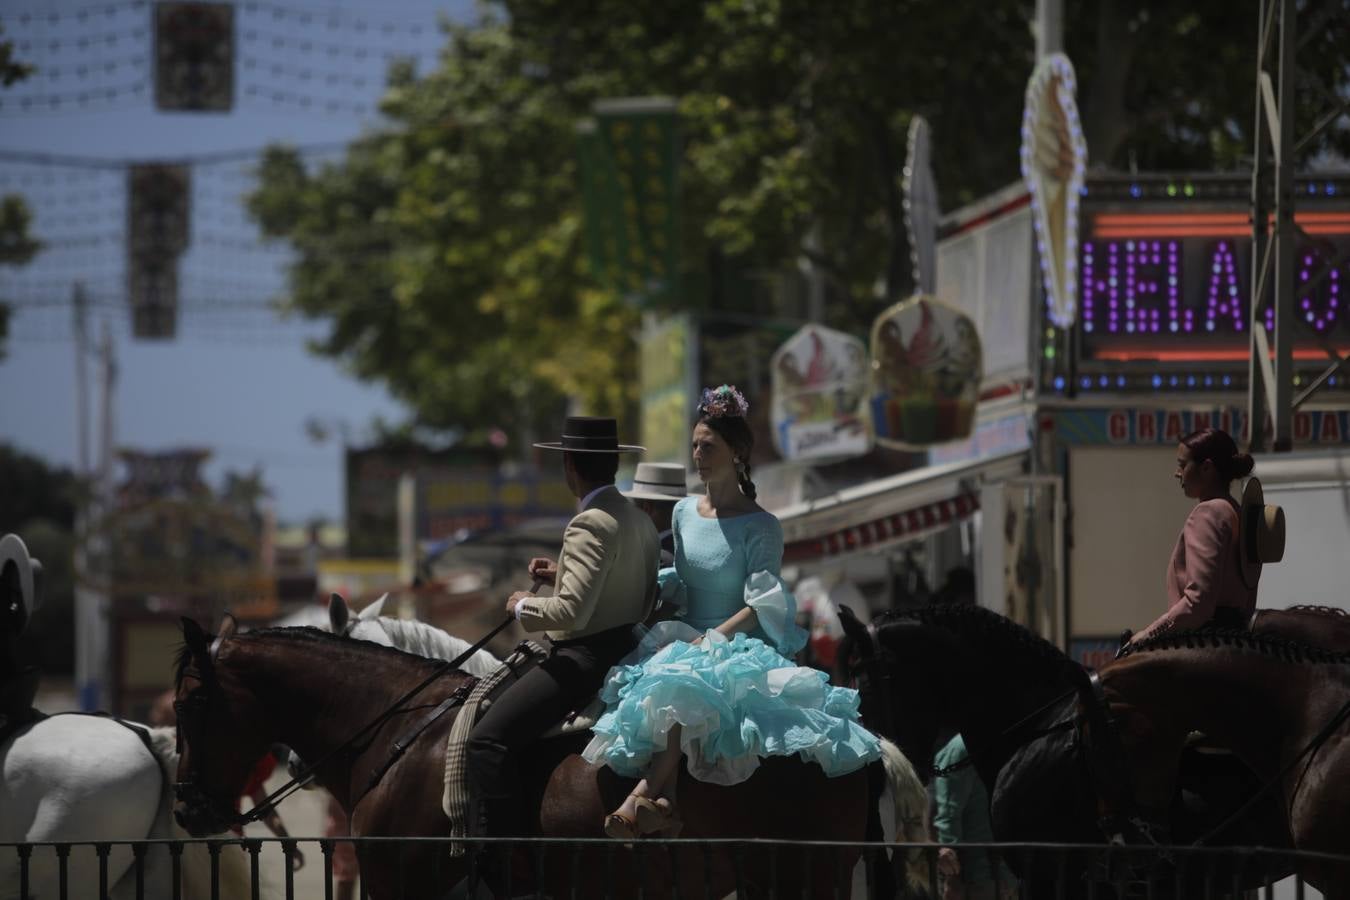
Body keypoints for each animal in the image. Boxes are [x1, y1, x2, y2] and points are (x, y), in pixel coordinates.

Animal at [171, 620, 928, 900]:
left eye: (190, 703)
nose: (186, 807)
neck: (401, 733)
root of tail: (855, 737)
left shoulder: (399, 882)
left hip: (798, 877)